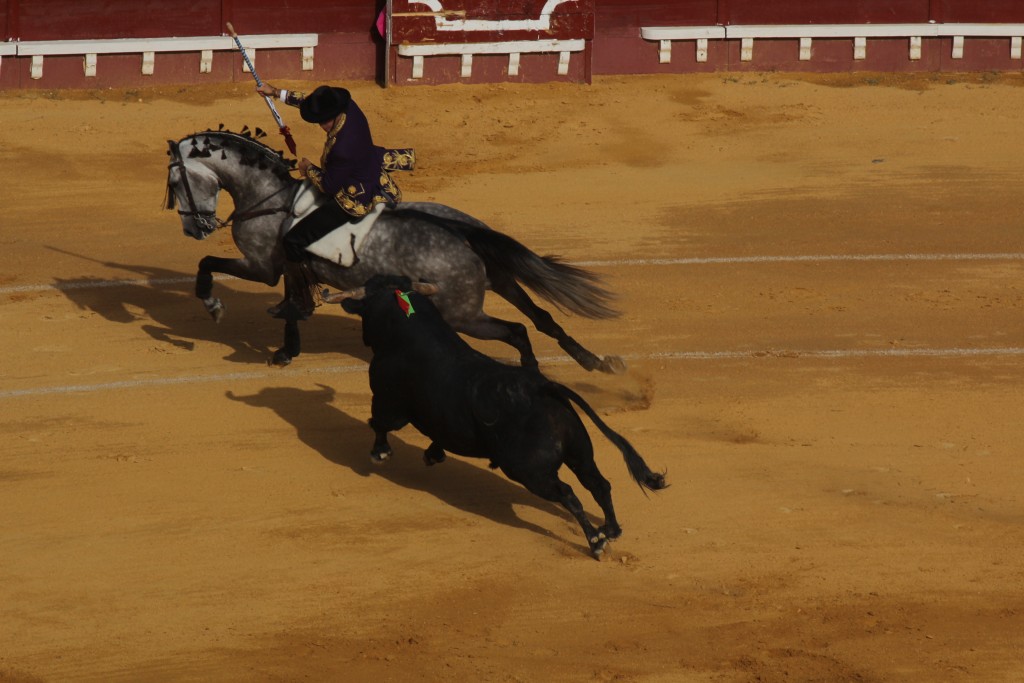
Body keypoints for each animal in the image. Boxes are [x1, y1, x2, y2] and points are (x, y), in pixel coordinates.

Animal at [165, 129, 622, 374]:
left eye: (173, 183)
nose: (193, 228)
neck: (269, 197)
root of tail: (462, 231)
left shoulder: (262, 265)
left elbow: (209, 266)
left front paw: (215, 308)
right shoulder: (287, 270)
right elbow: (292, 305)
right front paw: (286, 344)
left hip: (462, 313)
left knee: (517, 330)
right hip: (500, 281)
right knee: (541, 317)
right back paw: (592, 361)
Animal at [331, 274, 667, 557]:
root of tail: (542, 387)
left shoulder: (387, 400)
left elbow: (379, 423)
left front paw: (380, 454)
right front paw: (433, 453)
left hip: (530, 472)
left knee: (569, 493)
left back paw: (596, 542)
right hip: (579, 452)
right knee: (598, 483)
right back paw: (610, 530)